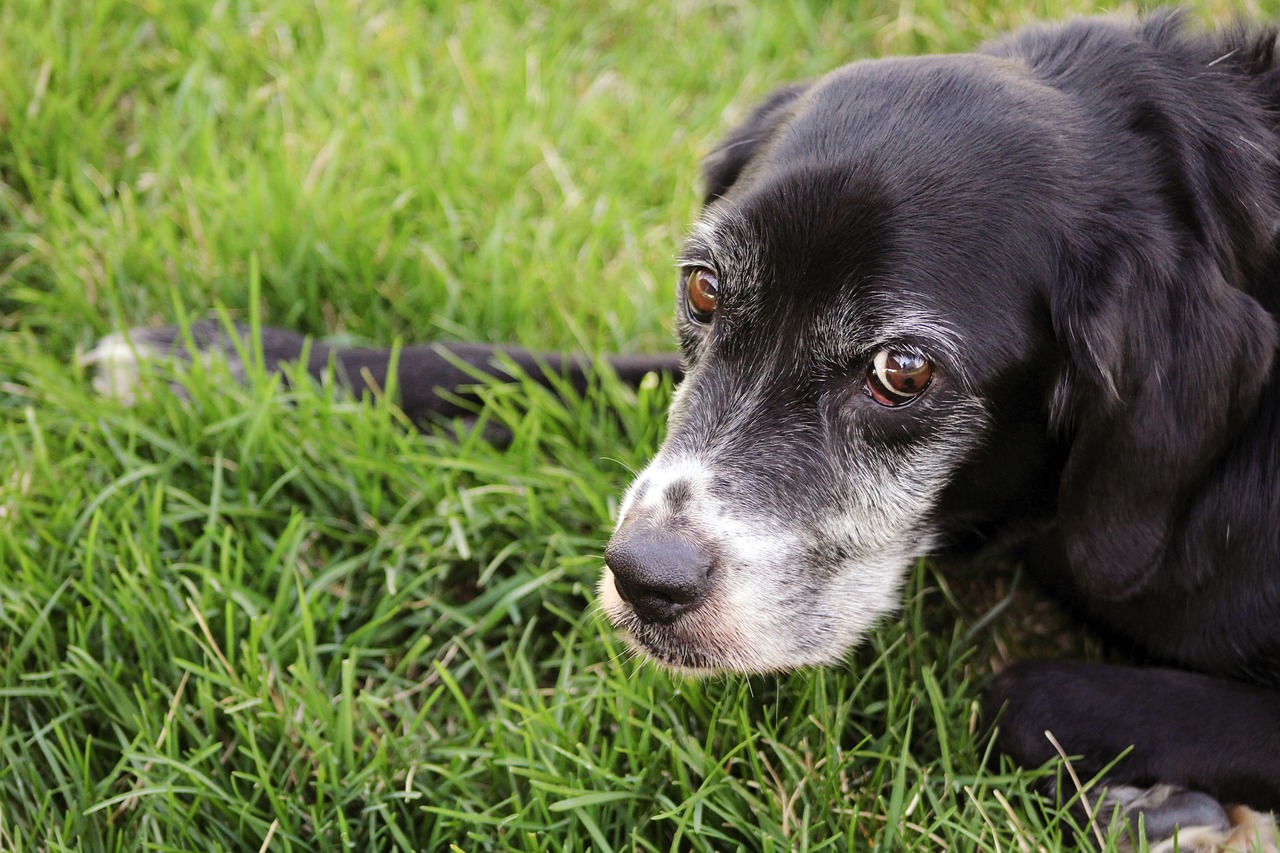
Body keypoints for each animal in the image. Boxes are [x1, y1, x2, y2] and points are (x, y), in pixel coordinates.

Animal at [87, 8, 1269, 850]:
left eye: (903, 369)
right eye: (701, 290)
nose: (643, 578)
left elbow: (1020, 695)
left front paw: (1169, 802)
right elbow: (515, 369)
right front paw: (216, 360)